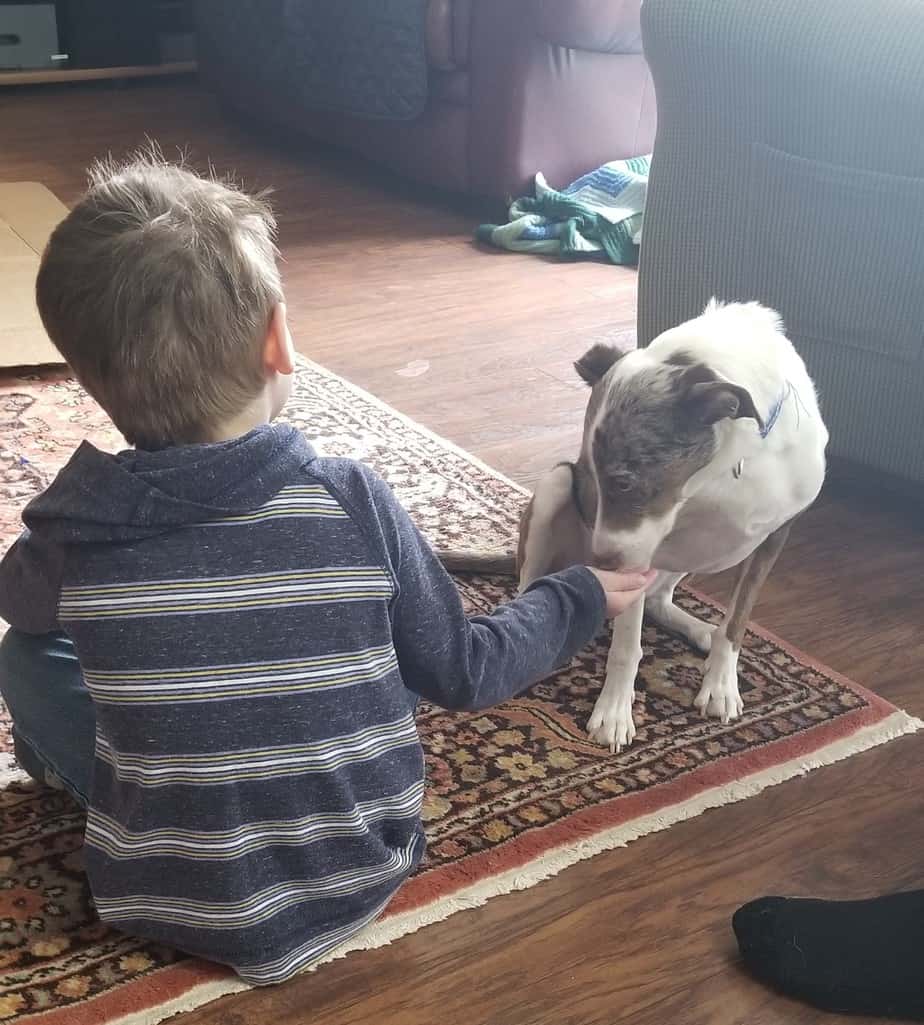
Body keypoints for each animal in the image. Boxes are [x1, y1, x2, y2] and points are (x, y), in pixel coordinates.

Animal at [438, 299, 828, 750]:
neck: (724, 464)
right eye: (590, 483)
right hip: (555, 487)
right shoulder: (637, 550)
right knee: (529, 589)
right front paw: (613, 714)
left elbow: (736, 622)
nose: (599, 565)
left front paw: (720, 685)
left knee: (661, 599)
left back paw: (701, 631)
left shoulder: (773, 535)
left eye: (624, 482)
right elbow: (627, 647)